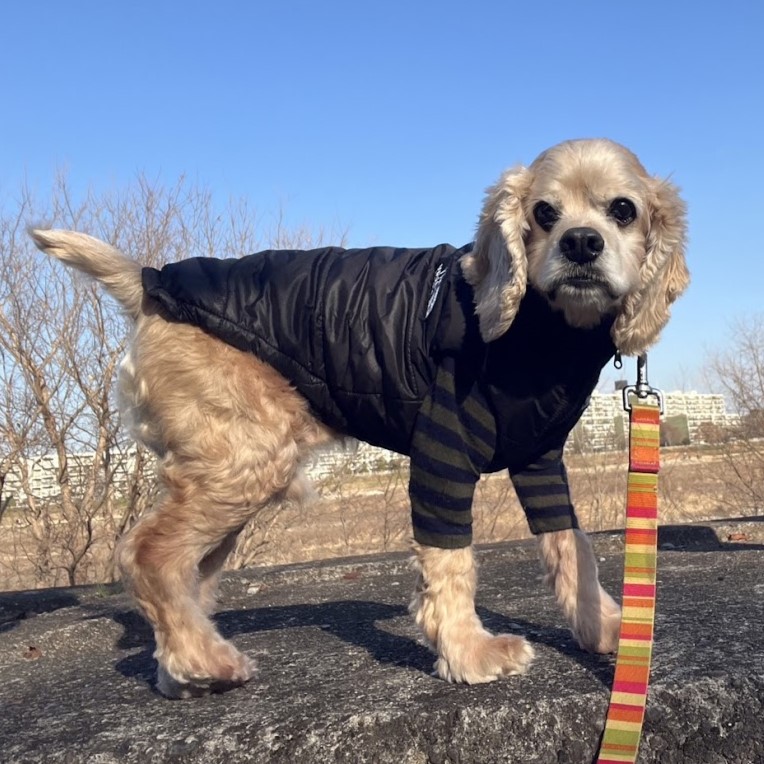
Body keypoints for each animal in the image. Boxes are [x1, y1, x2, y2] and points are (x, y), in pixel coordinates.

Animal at [29, 137, 688, 700]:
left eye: (623, 210)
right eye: (544, 213)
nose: (580, 242)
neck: (546, 330)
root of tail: (149, 284)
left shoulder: (541, 461)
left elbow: (571, 546)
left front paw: (608, 629)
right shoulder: (442, 456)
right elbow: (451, 563)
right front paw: (470, 652)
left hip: (229, 475)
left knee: (183, 573)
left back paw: (186, 668)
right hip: (241, 463)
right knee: (148, 553)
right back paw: (205, 661)